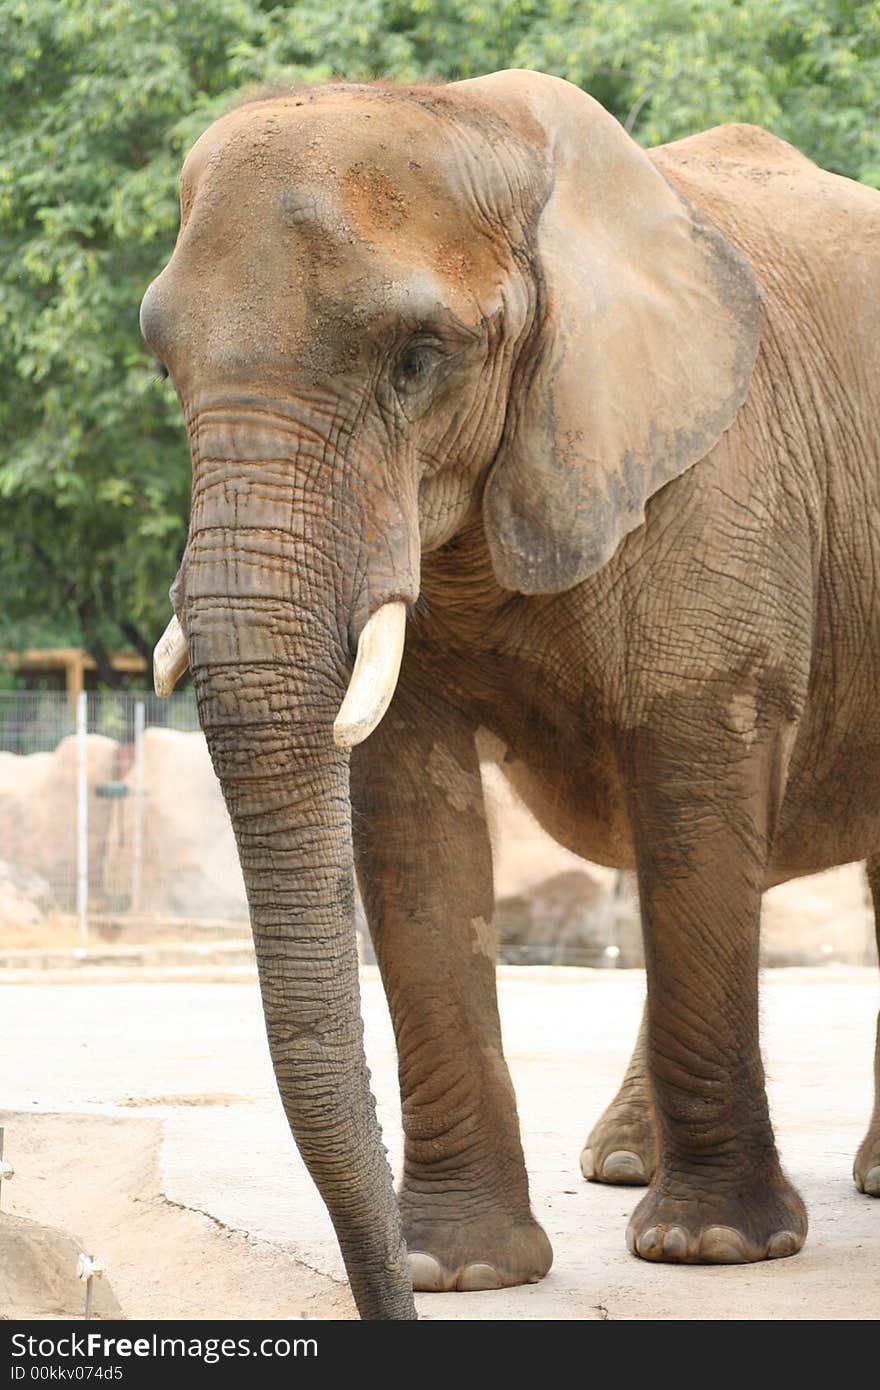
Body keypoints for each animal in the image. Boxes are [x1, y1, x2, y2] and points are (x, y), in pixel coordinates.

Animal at [137, 67, 878, 1323]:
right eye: (161, 357)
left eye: (417, 357)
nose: (384, 1305)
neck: (473, 121)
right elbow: (413, 831)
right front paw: (460, 1269)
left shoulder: (724, 485)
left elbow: (696, 800)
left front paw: (710, 1248)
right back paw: (620, 1160)